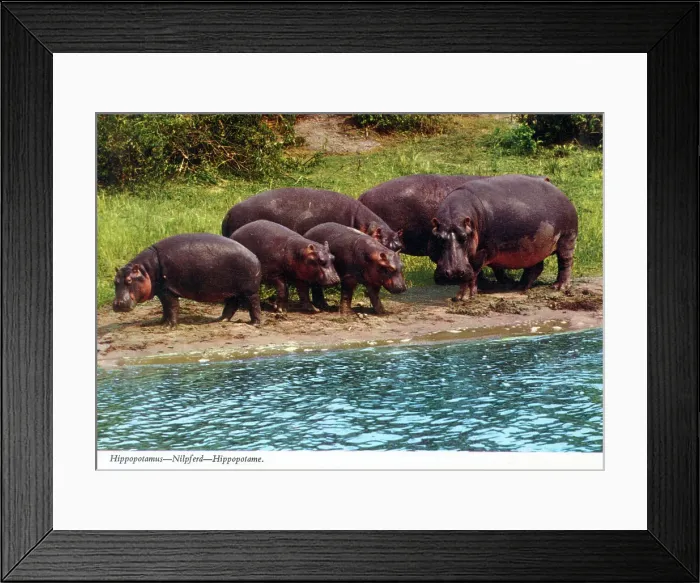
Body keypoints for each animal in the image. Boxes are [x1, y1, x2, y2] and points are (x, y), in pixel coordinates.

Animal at [112, 233, 262, 326]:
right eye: (115, 281)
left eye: (129, 281)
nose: (117, 304)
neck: (146, 270)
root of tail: (254, 256)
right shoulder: (161, 291)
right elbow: (165, 308)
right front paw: (161, 322)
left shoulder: (167, 290)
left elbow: (172, 307)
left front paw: (168, 326)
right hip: (233, 290)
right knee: (232, 304)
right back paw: (221, 320)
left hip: (249, 291)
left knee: (254, 305)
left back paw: (254, 323)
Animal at [428, 175, 578, 300]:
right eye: (439, 238)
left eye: (464, 237)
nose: (453, 272)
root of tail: (560, 191)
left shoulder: (482, 252)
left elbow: (472, 273)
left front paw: (463, 297)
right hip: (534, 247)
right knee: (535, 267)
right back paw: (519, 286)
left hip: (567, 239)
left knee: (565, 262)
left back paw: (559, 287)